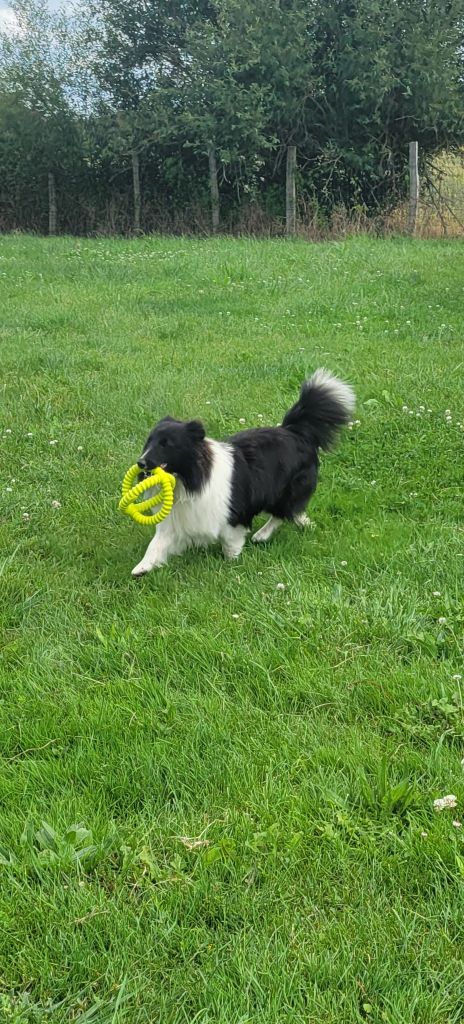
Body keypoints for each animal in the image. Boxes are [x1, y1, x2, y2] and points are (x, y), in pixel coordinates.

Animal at [131, 368, 355, 576]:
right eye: (149, 442)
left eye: (166, 444)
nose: (141, 463)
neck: (190, 479)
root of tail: (294, 430)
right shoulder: (175, 521)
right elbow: (156, 544)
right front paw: (142, 568)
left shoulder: (233, 516)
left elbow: (231, 543)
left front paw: (232, 563)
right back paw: (302, 523)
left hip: (284, 489)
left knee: (283, 512)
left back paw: (264, 534)